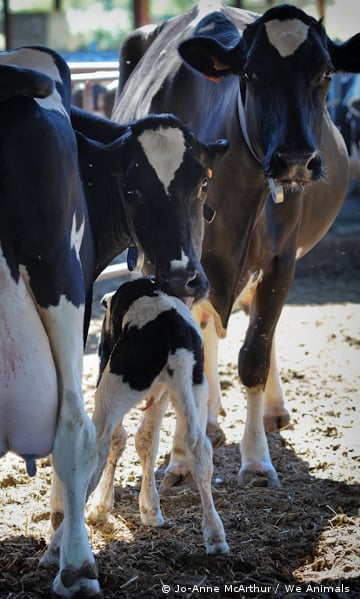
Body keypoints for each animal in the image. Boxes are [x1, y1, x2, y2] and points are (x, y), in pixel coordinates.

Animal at [88, 278, 228, 556]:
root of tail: (173, 332)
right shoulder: (163, 394)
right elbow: (146, 440)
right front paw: (151, 510)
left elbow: (121, 439)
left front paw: (102, 506)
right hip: (194, 388)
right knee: (198, 448)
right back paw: (216, 537)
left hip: (112, 383)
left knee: (99, 446)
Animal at [112, 2, 360, 488]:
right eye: (250, 73)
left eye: (325, 72)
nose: (296, 159)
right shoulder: (169, 265)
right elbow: (185, 356)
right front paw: (181, 459)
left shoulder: (282, 260)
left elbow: (255, 354)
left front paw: (257, 461)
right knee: (206, 330)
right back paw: (207, 420)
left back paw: (272, 410)